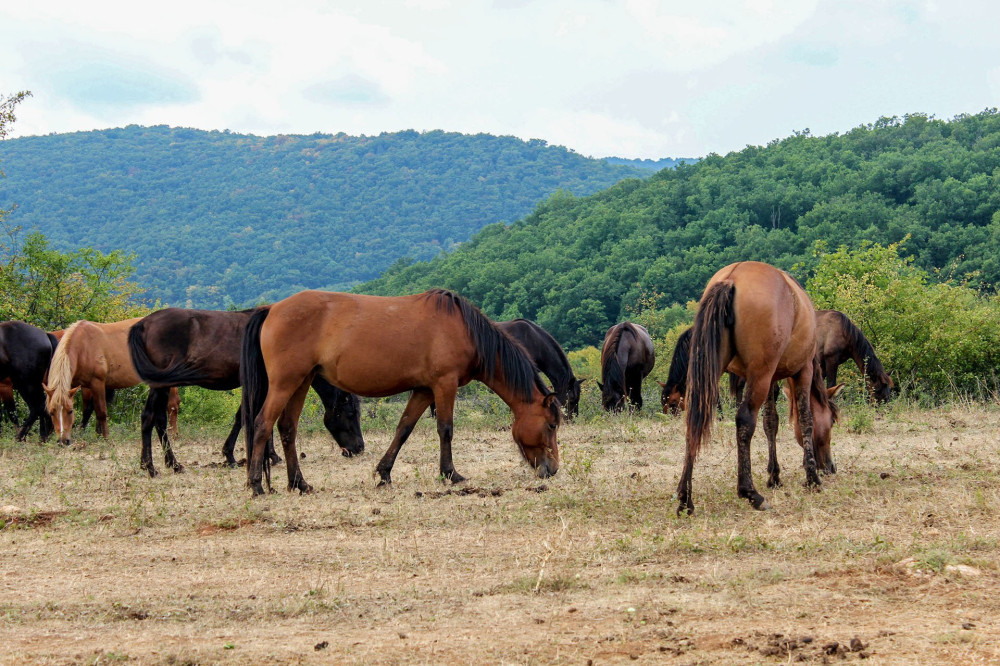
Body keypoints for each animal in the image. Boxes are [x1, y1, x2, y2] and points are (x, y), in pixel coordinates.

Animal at [128, 304, 364, 474]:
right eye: (351, 413)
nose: (359, 448)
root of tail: (143, 324)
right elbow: (248, 418)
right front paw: (242, 455)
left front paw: (260, 455)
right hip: (161, 385)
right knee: (149, 417)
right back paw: (151, 466)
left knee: (158, 420)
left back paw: (169, 464)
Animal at [238, 290, 560, 492]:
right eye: (552, 425)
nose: (553, 469)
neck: (465, 330)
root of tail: (271, 309)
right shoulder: (444, 384)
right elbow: (446, 429)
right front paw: (451, 473)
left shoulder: (424, 389)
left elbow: (404, 428)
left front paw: (384, 473)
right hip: (285, 383)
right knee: (262, 424)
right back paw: (256, 484)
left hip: (302, 382)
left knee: (287, 429)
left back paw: (299, 484)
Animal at [676, 260, 840, 512]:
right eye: (831, 421)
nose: (831, 467)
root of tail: (731, 278)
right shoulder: (802, 371)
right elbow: (806, 420)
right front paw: (812, 478)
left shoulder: (771, 378)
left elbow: (770, 423)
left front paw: (775, 476)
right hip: (759, 375)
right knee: (744, 420)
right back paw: (750, 492)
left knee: (694, 420)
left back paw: (686, 498)